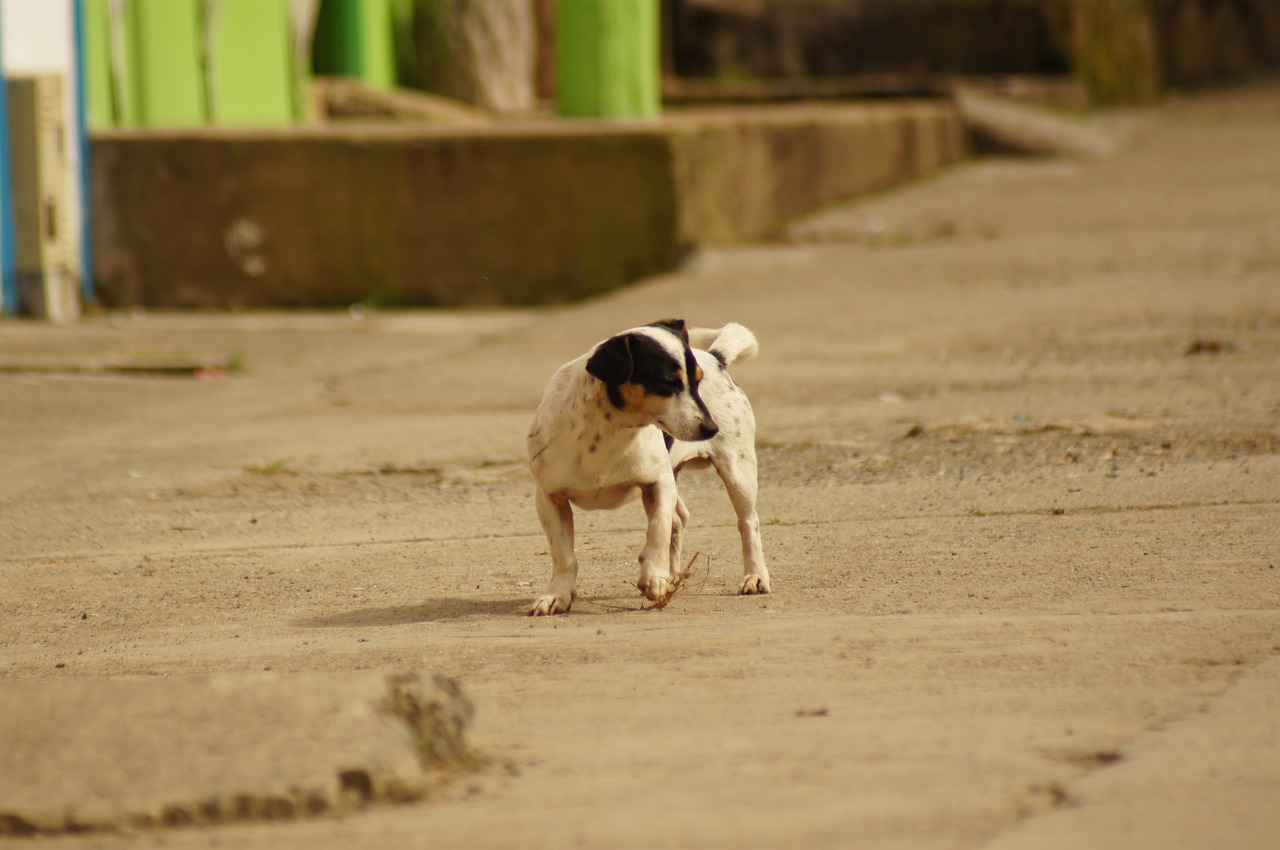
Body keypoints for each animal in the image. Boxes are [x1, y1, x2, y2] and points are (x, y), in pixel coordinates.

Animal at [522, 322, 762, 614]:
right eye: (668, 383)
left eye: (698, 381)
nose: (711, 428)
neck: (608, 434)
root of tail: (717, 357)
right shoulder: (549, 497)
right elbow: (563, 553)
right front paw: (558, 594)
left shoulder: (658, 484)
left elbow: (657, 529)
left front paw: (653, 576)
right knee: (680, 518)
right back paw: (672, 575)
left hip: (737, 472)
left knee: (747, 522)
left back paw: (755, 577)